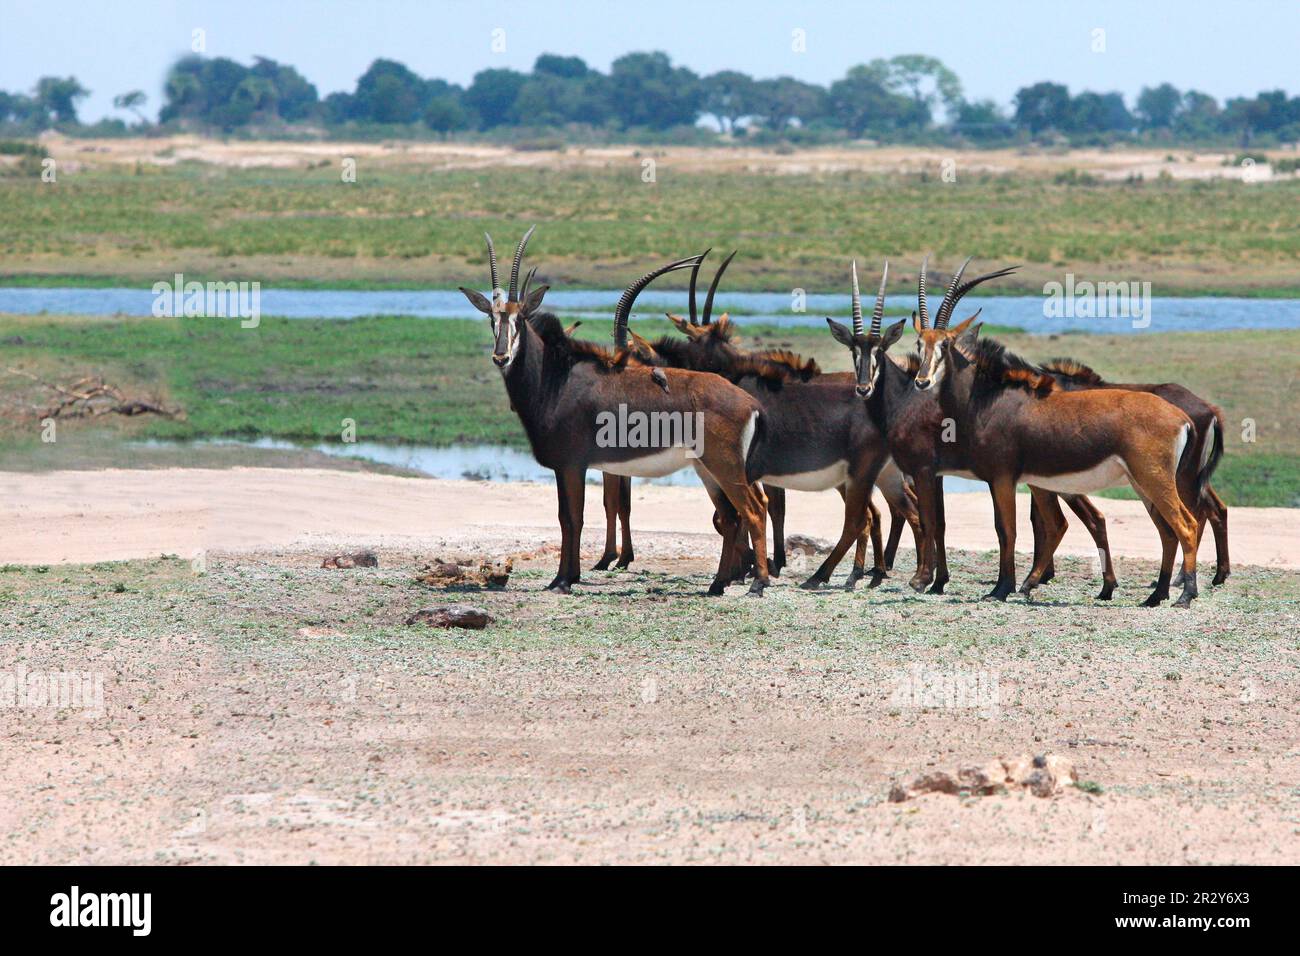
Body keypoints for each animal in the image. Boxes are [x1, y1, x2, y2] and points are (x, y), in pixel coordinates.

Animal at [460, 228, 769, 595]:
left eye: (519, 318)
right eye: (491, 318)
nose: (501, 357)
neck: (556, 378)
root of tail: (749, 402)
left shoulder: (571, 465)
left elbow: (572, 518)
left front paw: (563, 580)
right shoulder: (570, 467)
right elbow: (572, 517)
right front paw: (569, 576)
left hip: (724, 466)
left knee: (752, 510)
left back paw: (758, 583)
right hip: (706, 468)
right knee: (733, 516)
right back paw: (717, 584)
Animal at [821, 256, 1118, 598]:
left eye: (879, 350)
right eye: (853, 350)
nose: (864, 388)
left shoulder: (926, 470)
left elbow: (932, 520)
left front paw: (923, 579)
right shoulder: (940, 474)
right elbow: (941, 523)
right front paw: (938, 581)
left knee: (1067, 521)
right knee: (1085, 519)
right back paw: (1094, 585)